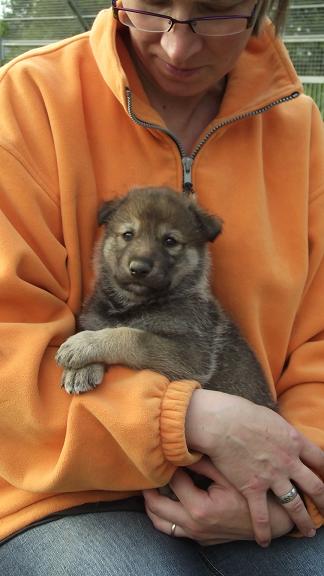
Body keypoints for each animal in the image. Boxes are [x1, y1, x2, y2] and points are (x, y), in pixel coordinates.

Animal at [56, 184, 276, 410]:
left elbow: (132, 336)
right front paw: (81, 370)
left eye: (170, 241)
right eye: (128, 234)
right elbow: (101, 327)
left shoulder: (189, 356)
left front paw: (83, 345)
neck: (133, 305)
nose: (139, 268)